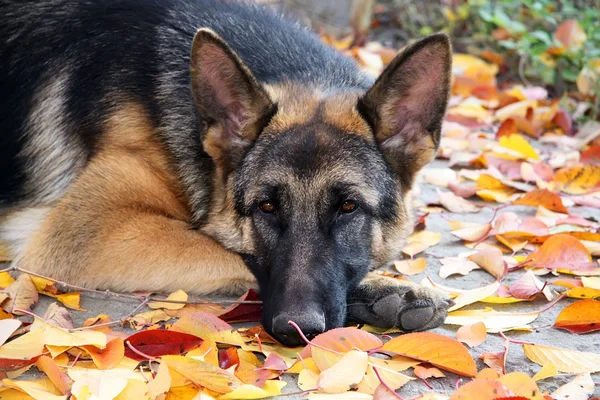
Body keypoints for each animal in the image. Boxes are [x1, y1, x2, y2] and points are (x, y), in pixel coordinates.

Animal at [0, 0, 450, 346]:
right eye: (266, 207)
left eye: (349, 207)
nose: (295, 329)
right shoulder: (86, 231)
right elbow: (234, 254)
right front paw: (380, 289)